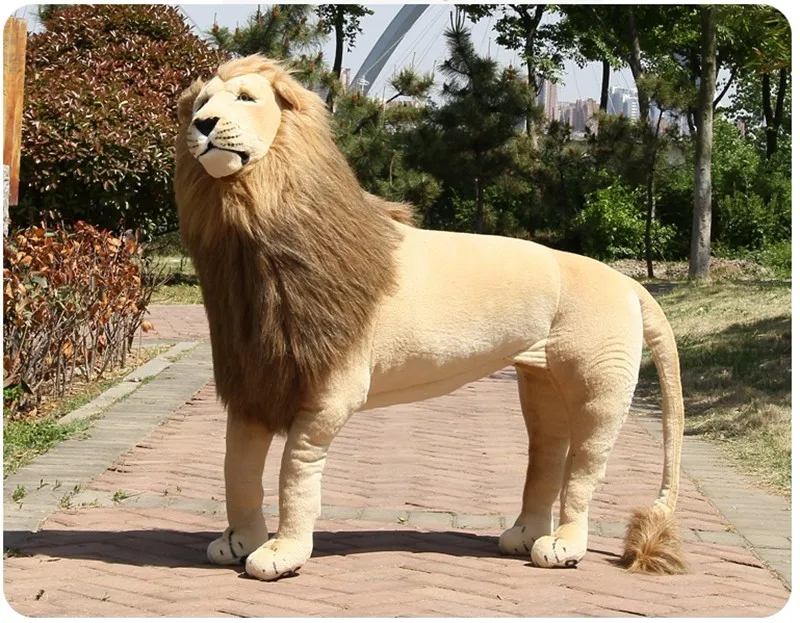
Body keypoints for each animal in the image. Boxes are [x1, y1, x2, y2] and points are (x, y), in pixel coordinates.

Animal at [174, 54, 687, 582]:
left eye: (246, 98)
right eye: (200, 102)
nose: (203, 124)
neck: (252, 226)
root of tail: (627, 282)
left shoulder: (329, 393)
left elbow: (294, 474)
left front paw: (282, 552)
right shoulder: (254, 378)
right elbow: (237, 467)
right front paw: (237, 541)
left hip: (597, 387)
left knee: (584, 467)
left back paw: (563, 545)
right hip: (542, 381)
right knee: (547, 454)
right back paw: (524, 536)